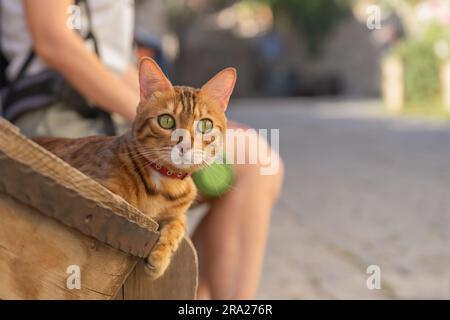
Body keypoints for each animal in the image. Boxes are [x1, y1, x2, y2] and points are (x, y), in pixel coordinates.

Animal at [33, 58, 237, 280]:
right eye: (166, 121)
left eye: (205, 125)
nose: (185, 146)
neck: (166, 185)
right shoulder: (101, 189)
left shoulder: (178, 212)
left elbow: (178, 224)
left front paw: (160, 256)